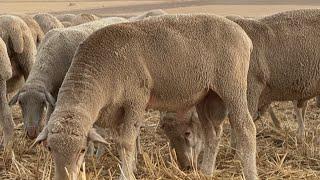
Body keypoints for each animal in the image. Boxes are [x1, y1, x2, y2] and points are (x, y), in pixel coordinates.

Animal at [33, 14, 258, 180]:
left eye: (81, 150)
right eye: (50, 148)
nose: (64, 177)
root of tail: (244, 36)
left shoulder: (135, 100)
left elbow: (126, 142)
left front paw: (126, 175)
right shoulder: (117, 111)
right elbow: (122, 141)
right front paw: (131, 167)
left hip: (232, 85)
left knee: (246, 128)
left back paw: (250, 173)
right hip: (207, 95)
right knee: (212, 133)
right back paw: (206, 171)